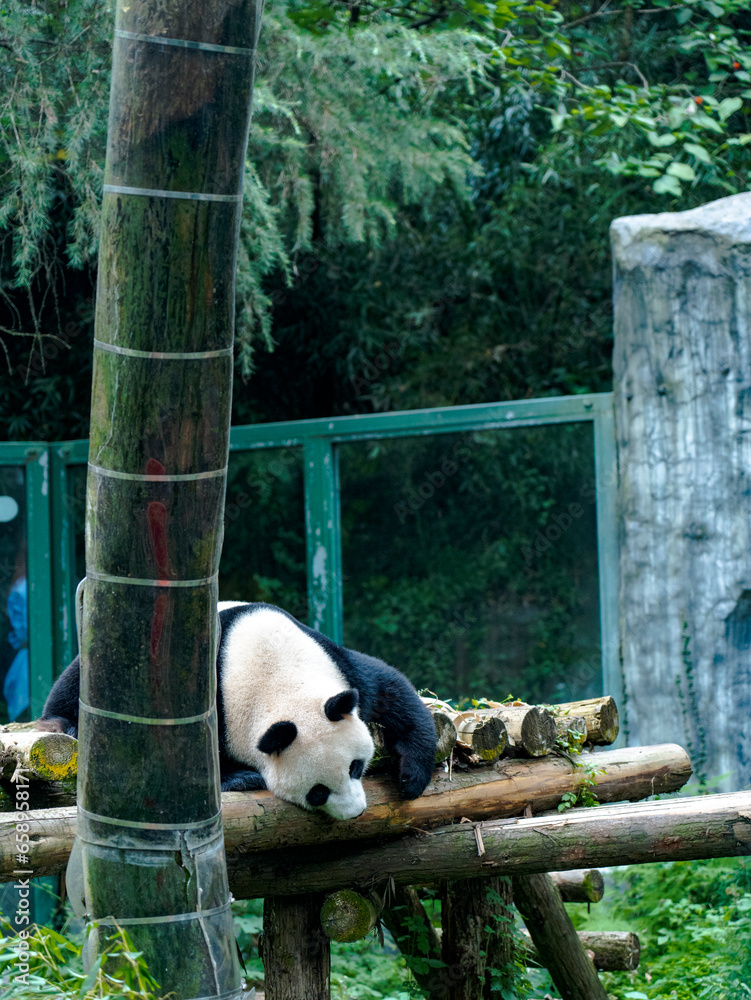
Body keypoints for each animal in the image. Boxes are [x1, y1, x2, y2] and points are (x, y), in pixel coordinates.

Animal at [38, 601, 437, 820]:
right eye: (318, 792)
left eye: (355, 767)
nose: (355, 812)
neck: (278, 676)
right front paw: (242, 777)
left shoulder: (338, 664)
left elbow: (393, 692)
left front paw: (411, 777)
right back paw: (64, 723)